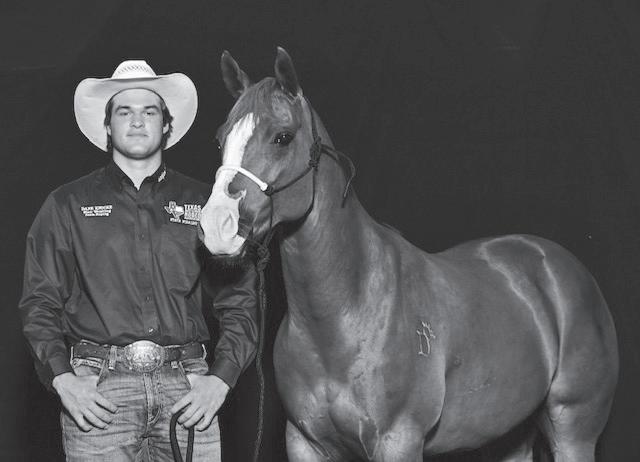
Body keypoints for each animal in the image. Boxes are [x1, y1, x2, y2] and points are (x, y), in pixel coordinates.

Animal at [199, 47, 619, 462]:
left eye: (282, 137)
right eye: (220, 140)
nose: (217, 225)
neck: (346, 314)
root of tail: (558, 265)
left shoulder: (397, 440)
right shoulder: (305, 443)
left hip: (573, 431)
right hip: (509, 437)